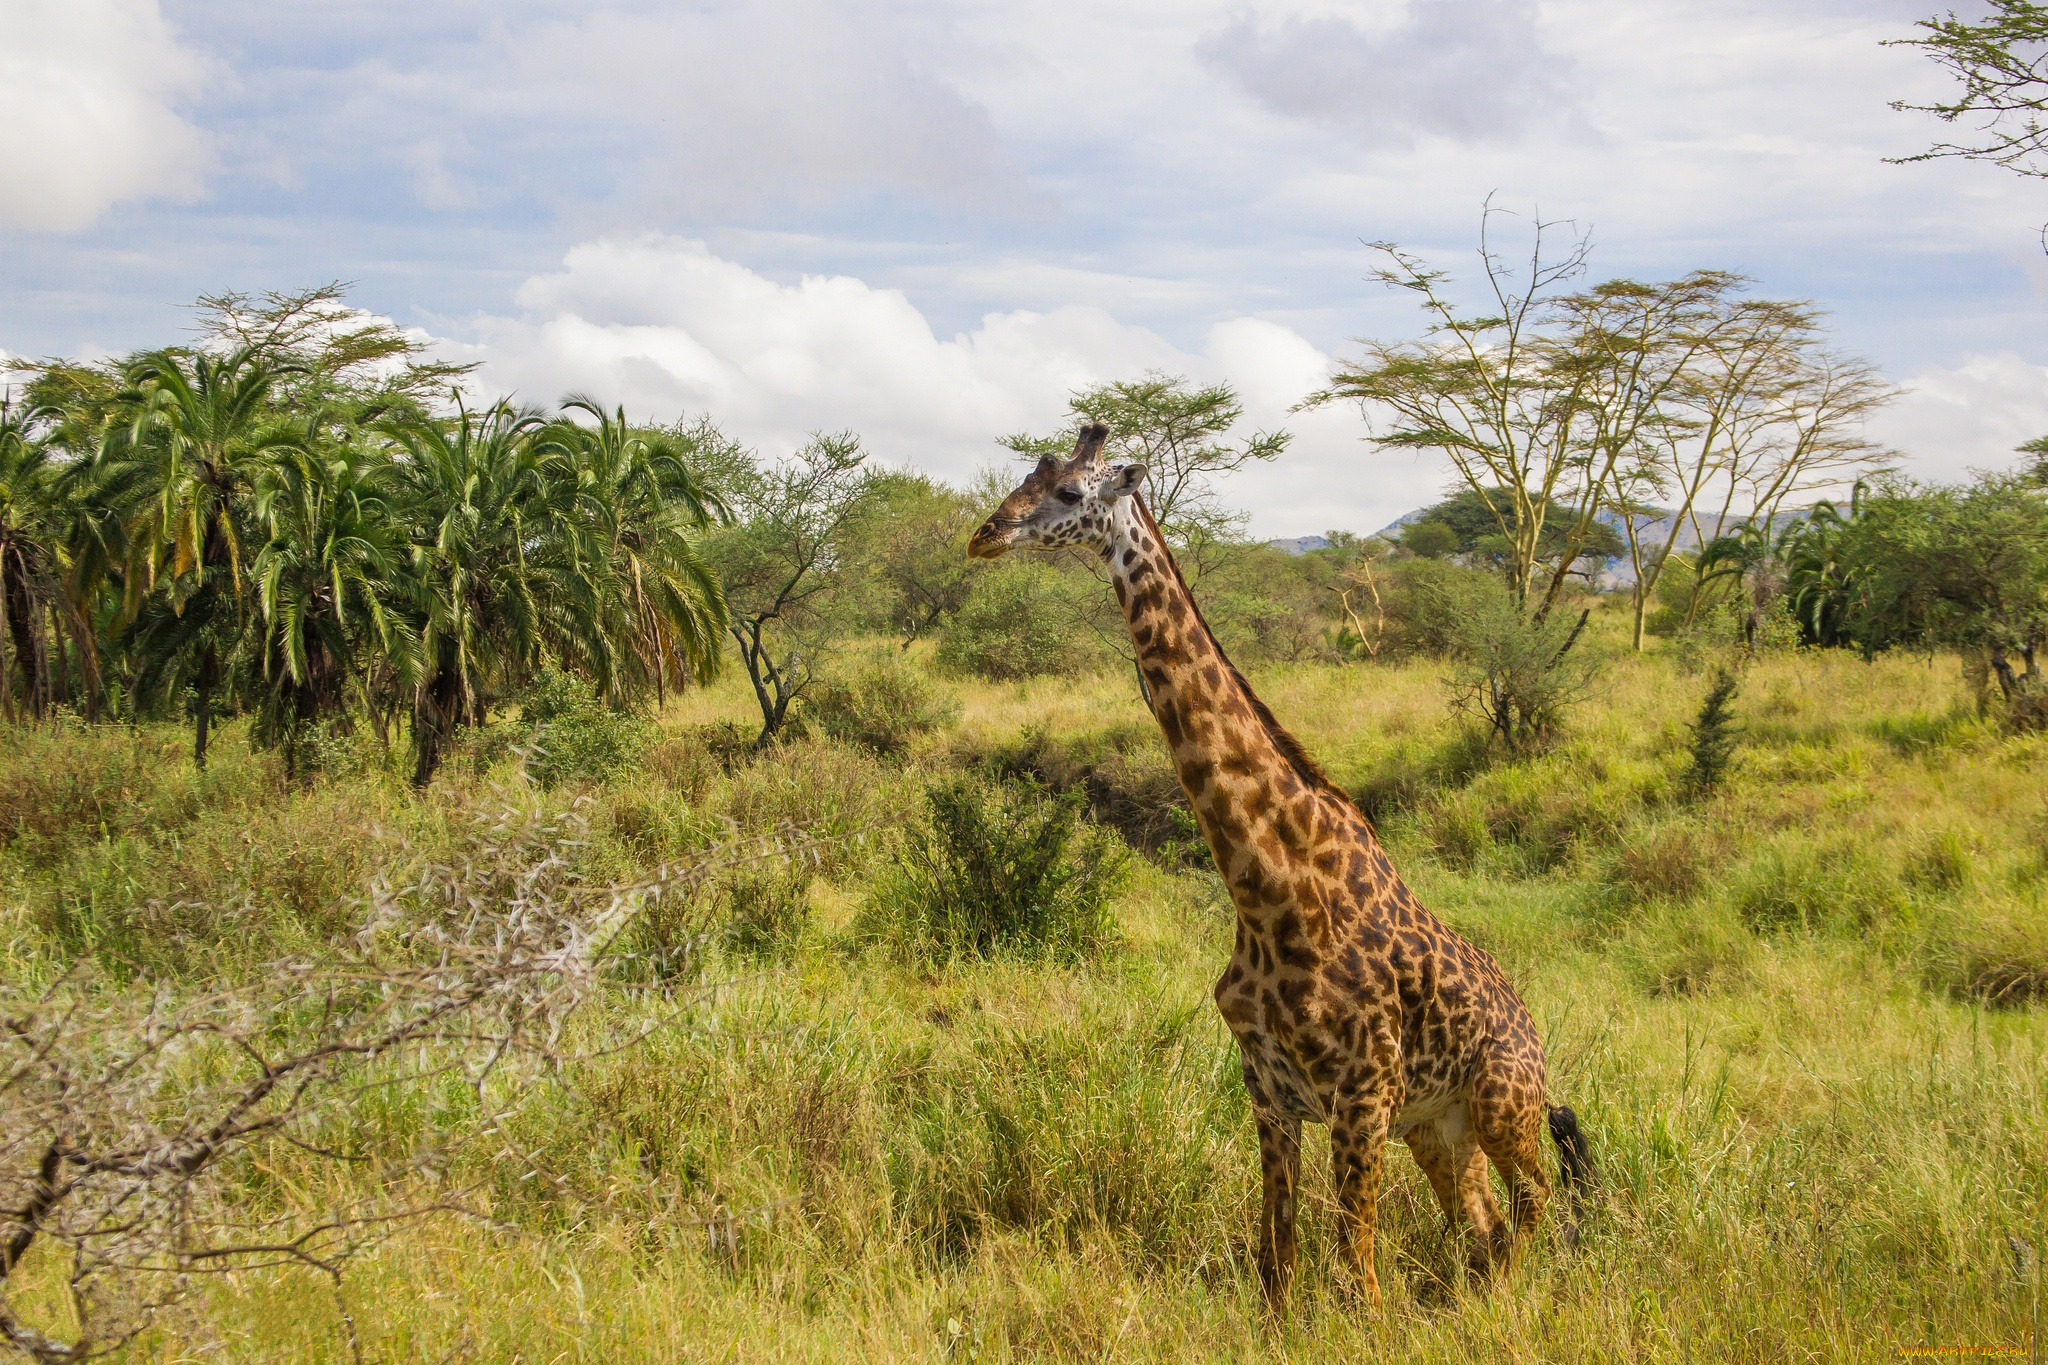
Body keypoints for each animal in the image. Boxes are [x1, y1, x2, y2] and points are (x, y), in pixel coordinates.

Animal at [974, 421, 1597, 1309]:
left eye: (1067, 491)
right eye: (1030, 473)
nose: (983, 535)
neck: (1269, 892)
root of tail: (1533, 1030)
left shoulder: (1360, 1098)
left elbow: (1356, 1279)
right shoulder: (1269, 1095)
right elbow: (1278, 1264)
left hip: (1501, 1105)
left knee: (1533, 1198)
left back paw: (1498, 1299)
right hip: (1438, 1127)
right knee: (1481, 1220)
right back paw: (1468, 1298)